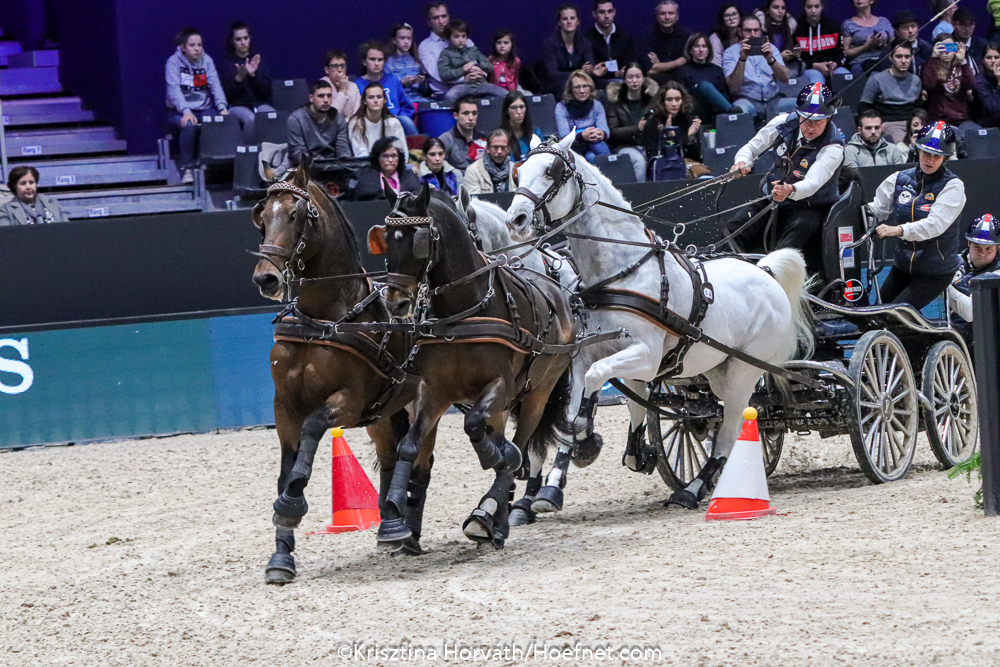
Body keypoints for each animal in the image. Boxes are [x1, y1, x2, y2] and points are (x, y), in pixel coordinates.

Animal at [251, 162, 429, 583]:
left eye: (296, 215)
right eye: (262, 217)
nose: (266, 278)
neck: (324, 319)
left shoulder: (348, 401)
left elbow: (314, 428)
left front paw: (292, 503)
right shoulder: (284, 406)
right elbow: (286, 469)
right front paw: (281, 556)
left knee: (417, 459)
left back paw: (406, 531)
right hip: (382, 415)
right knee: (390, 455)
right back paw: (391, 525)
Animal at [367, 183, 580, 549]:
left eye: (417, 239)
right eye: (387, 239)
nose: (395, 302)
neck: (464, 311)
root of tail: (559, 293)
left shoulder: (500, 387)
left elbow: (479, 429)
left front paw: (494, 459)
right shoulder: (433, 391)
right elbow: (409, 446)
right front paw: (395, 513)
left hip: (538, 394)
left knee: (519, 449)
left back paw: (487, 515)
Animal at [505, 134, 814, 512]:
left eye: (553, 170)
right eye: (519, 172)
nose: (516, 220)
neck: (621, 272)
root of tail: (766, 271)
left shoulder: (647, 356)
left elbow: (595, 387)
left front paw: (587, 443)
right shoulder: (584, 357)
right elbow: (579, 410)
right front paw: (553, 485)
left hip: (744, 371)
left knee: (728, 432)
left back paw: (693, 490)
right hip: (716, 369)